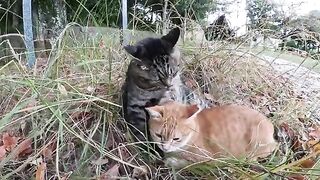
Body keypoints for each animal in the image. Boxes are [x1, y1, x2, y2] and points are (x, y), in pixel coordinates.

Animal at [146, 101, 278, 167]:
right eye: (159, 135)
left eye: (176, 138)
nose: (165, 147)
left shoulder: (208, 158)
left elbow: (188, 163)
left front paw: (172, 161)